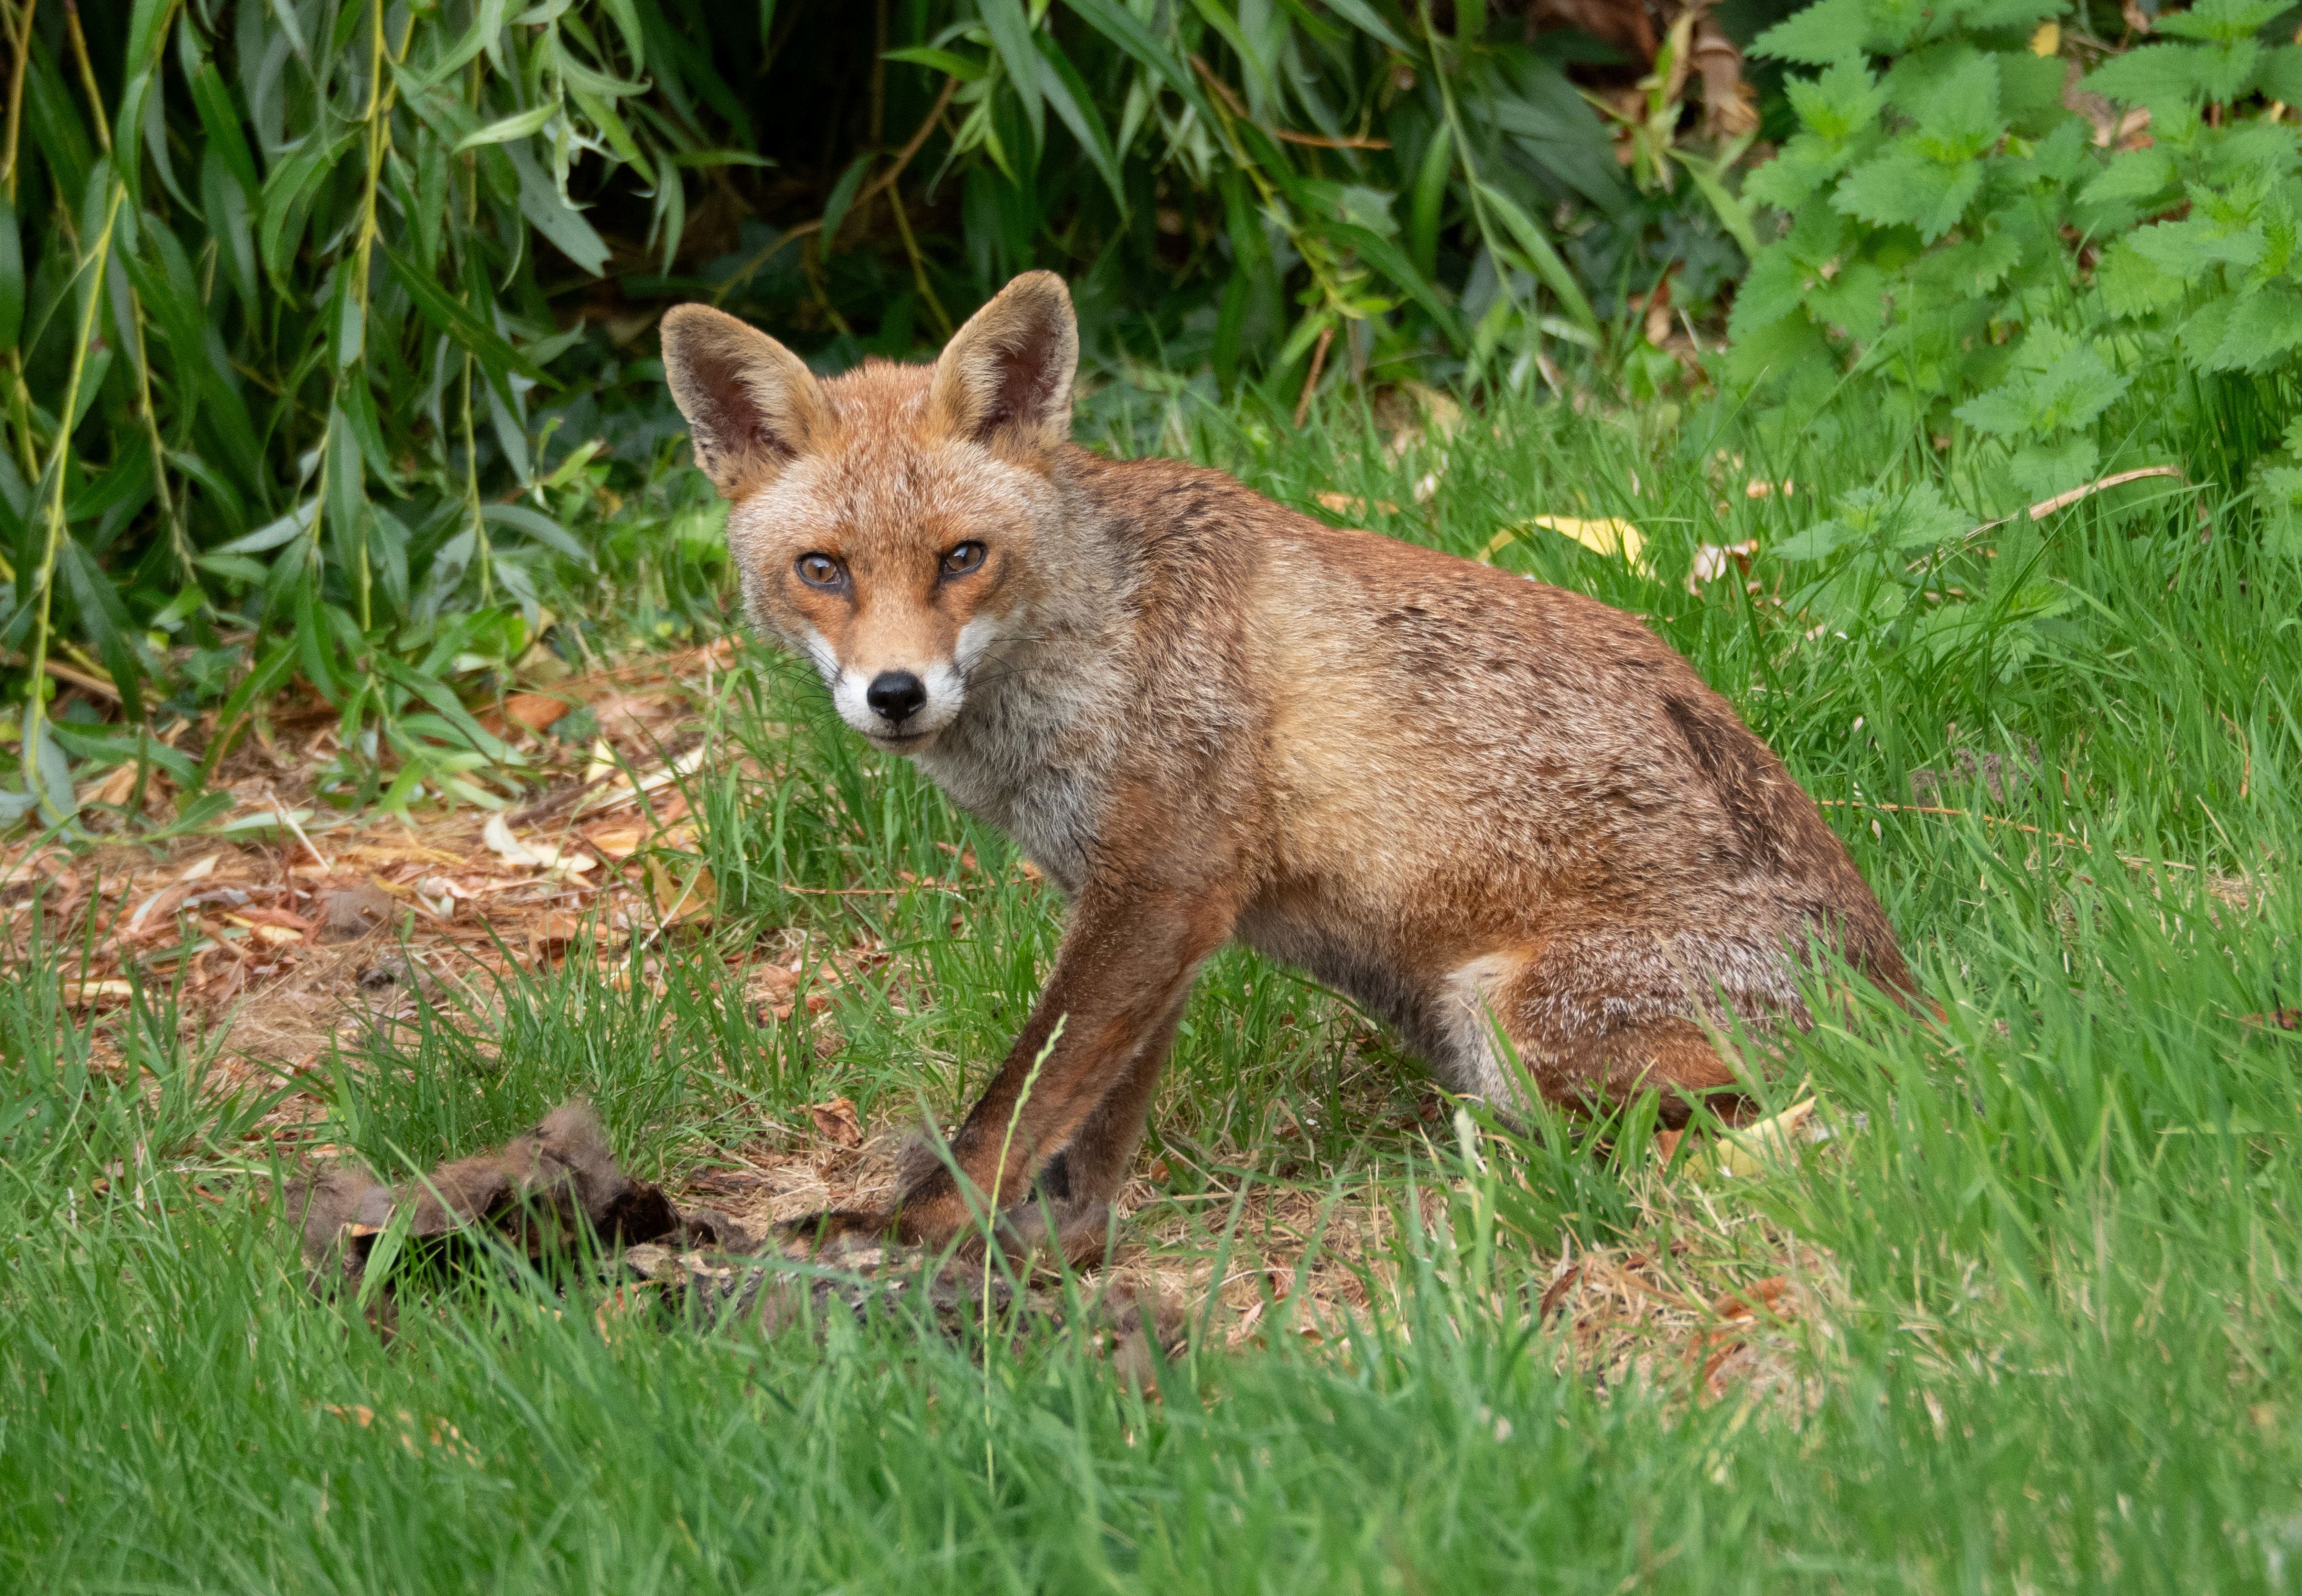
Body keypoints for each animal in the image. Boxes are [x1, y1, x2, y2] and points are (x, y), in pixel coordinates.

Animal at [660, 271, 1914, 1260]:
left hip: (1506, 1015)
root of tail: (1908, 998)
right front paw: (1063, 1248)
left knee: (1709, 1130)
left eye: (962, 558)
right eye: (822, 569)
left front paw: (912, 1232)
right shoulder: (1148, 908)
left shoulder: (1162, 884)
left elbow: (1013, 1107)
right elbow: (1093, 1119)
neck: (1091, 638)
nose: (895, 694)